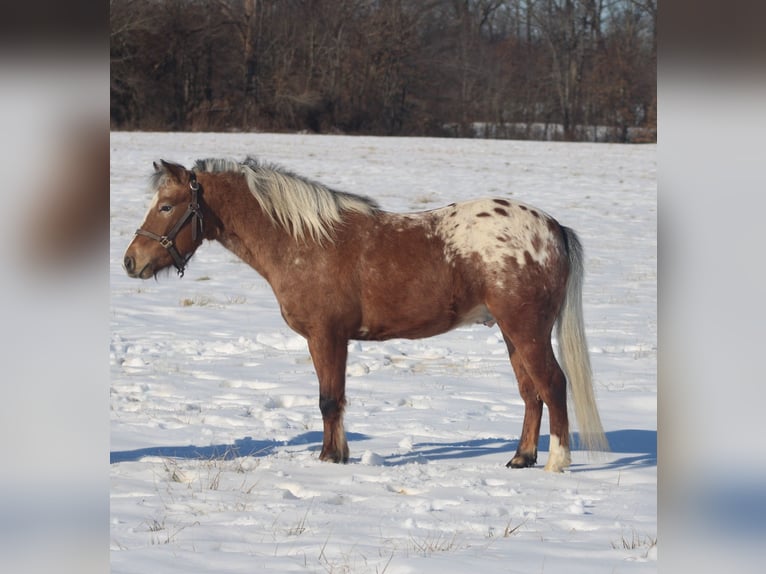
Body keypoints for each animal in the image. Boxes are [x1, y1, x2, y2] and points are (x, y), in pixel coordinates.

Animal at [123, 156, 608, 472]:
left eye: (166, 206)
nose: (131, 261)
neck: (303, 239)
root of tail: (553, 229)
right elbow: (333, 399)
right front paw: (337, 455)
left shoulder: (327, 336)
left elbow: (328, 400)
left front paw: (329, 458)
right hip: (510, 333)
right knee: (531, 393)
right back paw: (521, 457)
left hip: (527, 330)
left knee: (553, 385)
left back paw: (557, 462)